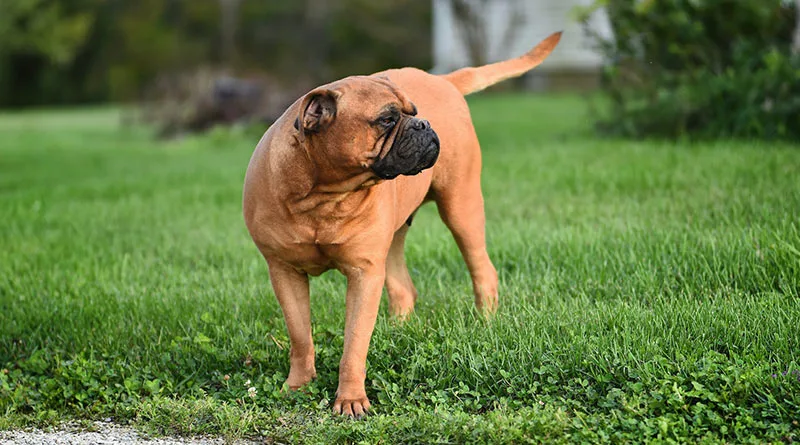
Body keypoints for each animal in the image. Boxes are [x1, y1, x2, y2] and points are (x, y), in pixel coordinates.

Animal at [244, 31, 564, 416]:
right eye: (386, 119)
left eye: (414, 113)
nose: (424, 124)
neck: (323, 193)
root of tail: (443, 80)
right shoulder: (285, 272)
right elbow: (300, 335)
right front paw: (298, 386)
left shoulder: (363, 273)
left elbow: (354, 345)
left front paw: (350, 399)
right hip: (395, 237)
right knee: (402, 287)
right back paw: (397, 331)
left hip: (462, 208)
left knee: (482, 269)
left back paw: (485, 322)